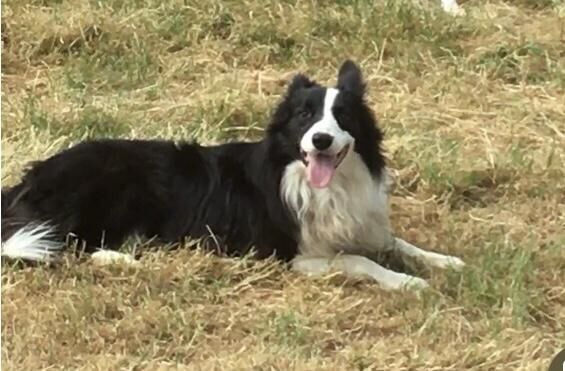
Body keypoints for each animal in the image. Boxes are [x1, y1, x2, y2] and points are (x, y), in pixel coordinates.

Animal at [2, 60, 462, 290]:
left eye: (343, 116)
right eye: (304, 116)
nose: (321, 140)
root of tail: (30, 178)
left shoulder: (361, 224)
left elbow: (394, 242)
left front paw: (446, 261)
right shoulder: (289, 254)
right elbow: (359, 259)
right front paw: (406, 282)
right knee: (68, 246)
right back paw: (124, 260)